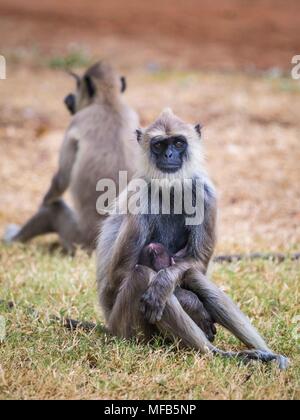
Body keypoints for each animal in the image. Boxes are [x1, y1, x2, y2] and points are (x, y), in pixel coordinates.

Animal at [2, 61, 139, 253]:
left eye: (77, 85)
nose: (68, 97)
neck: (109, 103)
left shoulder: (75, 123)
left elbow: (61, 180)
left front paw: (44, 201)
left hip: (77, 237)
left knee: (53, 211)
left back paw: (11, 238)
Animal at [96, 110, 288, 370]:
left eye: (178, 143)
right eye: (159, 145)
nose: (168, 155)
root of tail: (109, 325)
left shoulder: (206, 193)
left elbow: (196, 263)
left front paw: (172, 285)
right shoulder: (140, 198)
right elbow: (120, 274)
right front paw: (190, 304)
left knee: (190, 276)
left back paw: (265, 354)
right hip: (127, 330)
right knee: (143, 276)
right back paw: (221, 354)